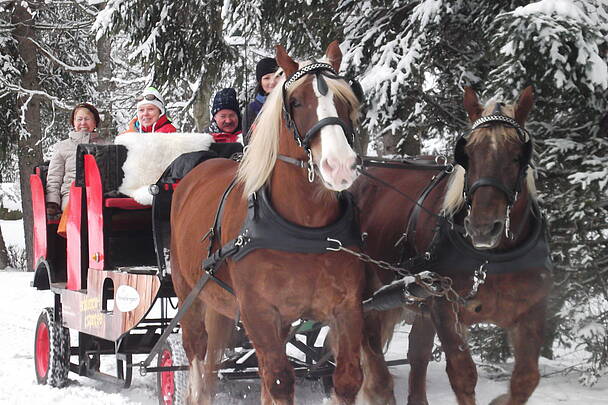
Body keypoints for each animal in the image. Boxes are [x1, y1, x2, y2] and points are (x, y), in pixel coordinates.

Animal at [169, 41, 392, 404]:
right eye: (297, 102)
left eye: (347, 99)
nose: (339, 166)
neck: (303, 229)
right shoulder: (258, 312)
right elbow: (278, 381)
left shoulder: (346, 307)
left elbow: (346, 379)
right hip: (188, 294)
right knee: (197, 358)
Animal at [354, 86, 552, 404]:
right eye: (467, 154)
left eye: (517, 156)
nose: (482, 227)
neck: (491, 259)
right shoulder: (445, 306)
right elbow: (462, 374)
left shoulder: (532, 308)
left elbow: (526, 378)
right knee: (370, 350)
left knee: (417, 353)